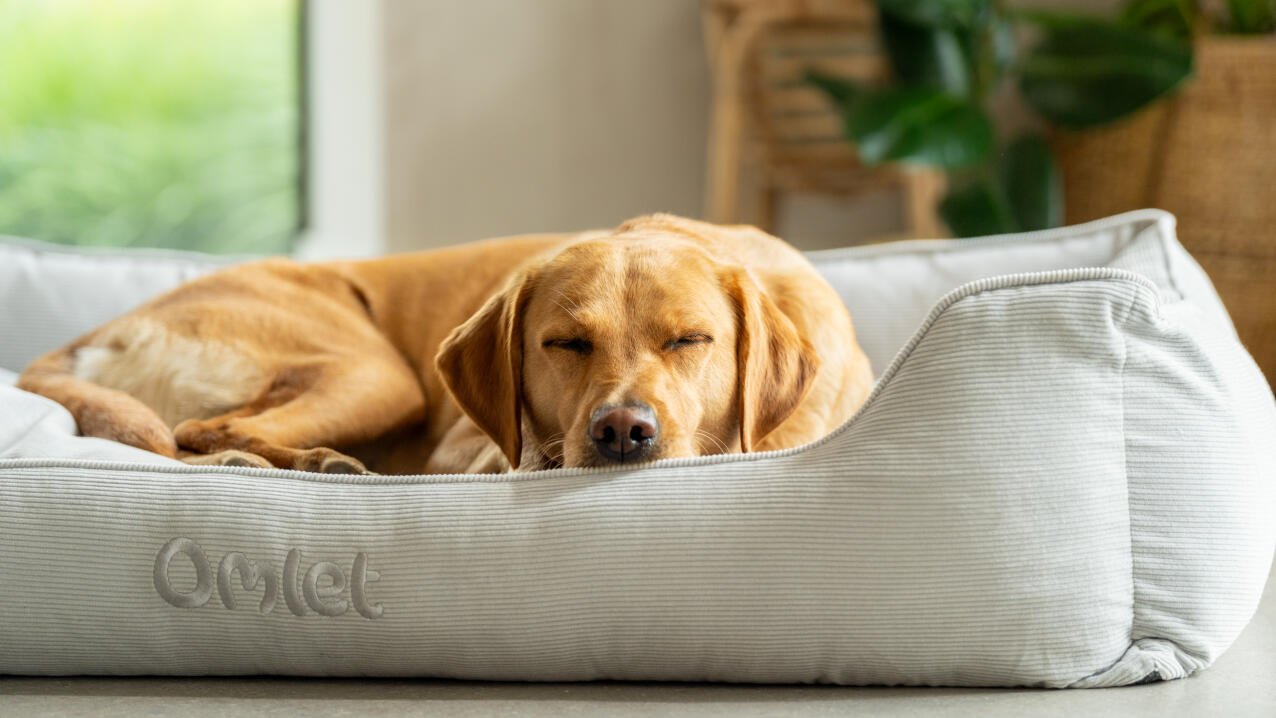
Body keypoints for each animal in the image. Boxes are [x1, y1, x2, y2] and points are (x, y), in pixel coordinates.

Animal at [19, 216, 872, 474]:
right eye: (564, 343)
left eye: (692, 339)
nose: (622, 432)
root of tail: (97, 331)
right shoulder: (465, 449)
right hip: (375, 373)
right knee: (199, 432)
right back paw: (300, 464)